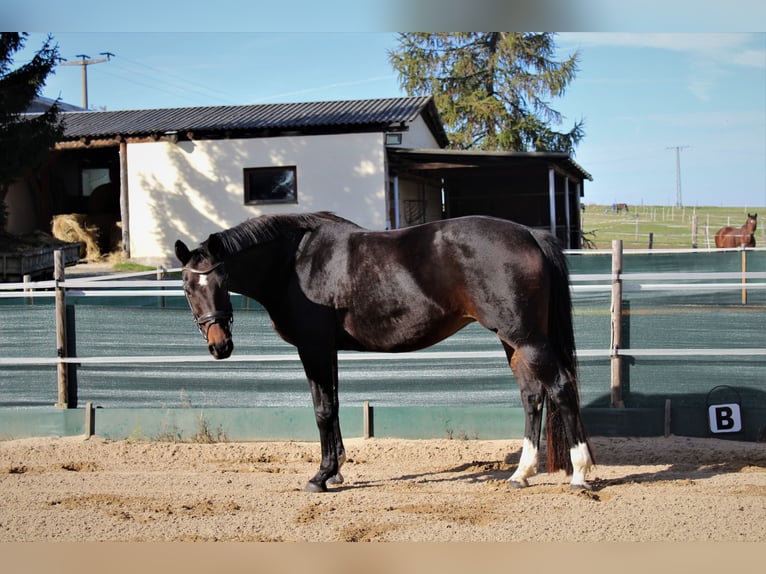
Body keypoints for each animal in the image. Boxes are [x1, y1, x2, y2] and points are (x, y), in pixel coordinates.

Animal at [177, 214, 596, 492]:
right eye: (186, 287)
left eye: (222, 280)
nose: (220, 346)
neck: (295, 265)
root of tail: (529, 233)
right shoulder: (327, 350)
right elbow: (332, 406)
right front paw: (337, 468)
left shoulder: (312, 349)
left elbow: (322, 409)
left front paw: (321, 476)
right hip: (514, 340)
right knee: (532, 396)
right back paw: (521, 474)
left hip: (527, 337)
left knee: (561, 387)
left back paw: (579, 473)